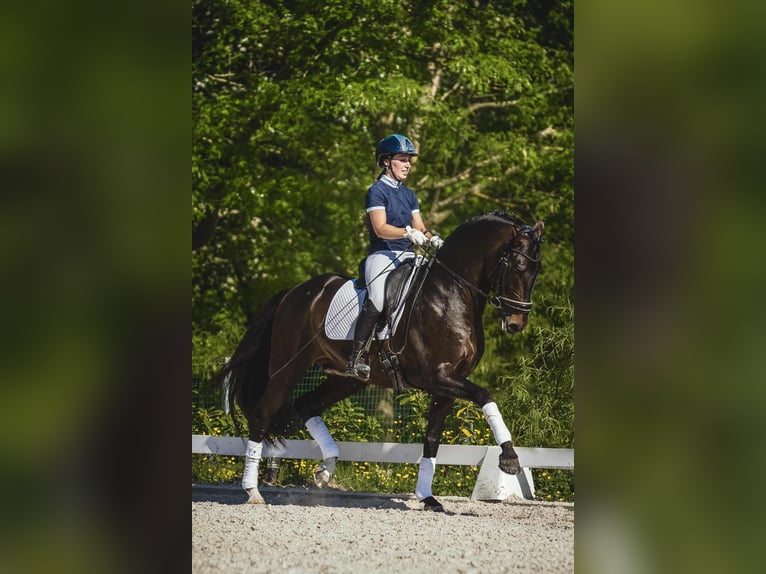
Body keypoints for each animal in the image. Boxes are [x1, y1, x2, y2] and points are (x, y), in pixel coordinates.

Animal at [215, 210, 544, 511]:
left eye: (537, 271)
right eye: (517, 266)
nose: (516, 323)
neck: (450, 294)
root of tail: (294, 292)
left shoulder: (446, 387)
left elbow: (432, 438)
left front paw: (427, 497)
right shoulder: (437, 377)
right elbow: (486, 396)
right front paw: (510, 459)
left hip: (344, 380)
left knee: (307, 405)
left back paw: (325, 470)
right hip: (287, 369)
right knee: (262, 415)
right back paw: (253, 491)